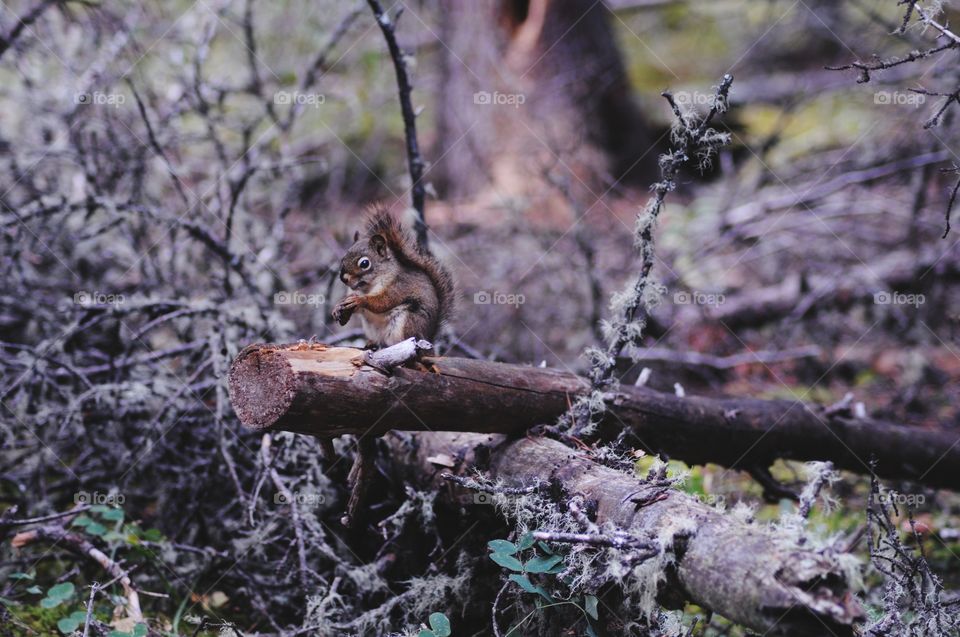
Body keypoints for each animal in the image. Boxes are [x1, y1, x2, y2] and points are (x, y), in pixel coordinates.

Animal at [332, 208, 455, 347]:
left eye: (364, 263)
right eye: (344, 257)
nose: (343, 278)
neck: (367, 287)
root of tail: (428, 338)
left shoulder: (399, 285)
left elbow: (384, 301)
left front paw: (360, 300)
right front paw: (337, 308)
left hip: (409, 322)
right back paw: (372, 344)